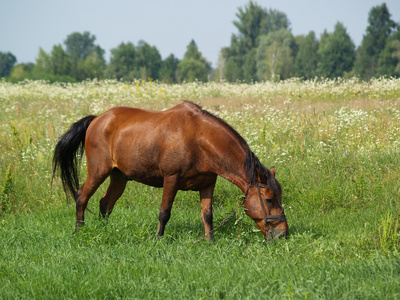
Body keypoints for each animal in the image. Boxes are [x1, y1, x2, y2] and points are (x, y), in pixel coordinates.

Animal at [52, 101, 288, 241]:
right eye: (268, 199)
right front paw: (158, 239)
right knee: (82, 196)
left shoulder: (208, 183)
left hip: (119, 176)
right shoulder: (171, 179)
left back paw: (104, 231)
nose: (283, 233)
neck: (199, 139)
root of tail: (97, 118)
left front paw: (210, 241)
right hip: (98, 171)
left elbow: (208, 214)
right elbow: (164, 212)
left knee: (105, 203)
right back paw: (79, 230)